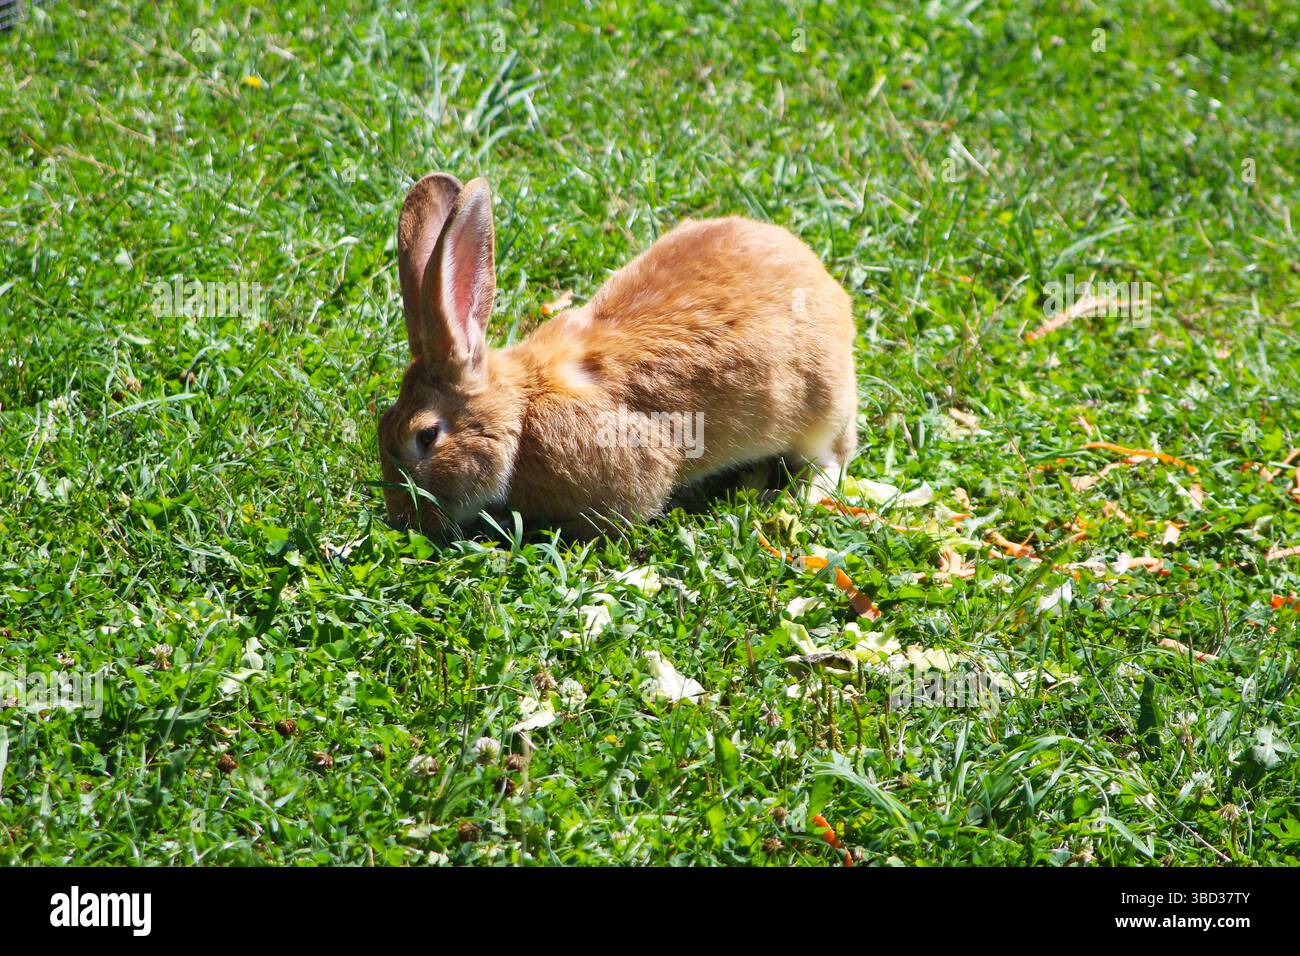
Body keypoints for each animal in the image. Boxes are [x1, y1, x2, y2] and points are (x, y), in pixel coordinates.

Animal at [378, 172, 858, 539]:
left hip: (818, 409)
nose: (405, 519)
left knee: (831, 457)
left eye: (426, 436)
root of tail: (822, 281)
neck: (521, 411)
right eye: (382, 423)